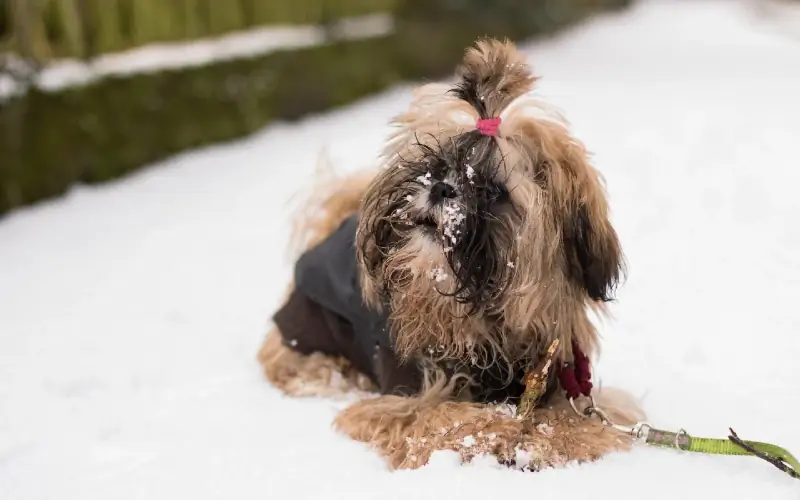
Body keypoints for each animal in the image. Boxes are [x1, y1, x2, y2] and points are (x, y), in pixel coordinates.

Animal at [256, 39, 644, 472]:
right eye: (438, 165)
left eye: (493, 191)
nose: (441, 187)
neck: (485, 325)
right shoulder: (399, 399)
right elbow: (441, 416)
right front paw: (505, 429)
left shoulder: (559, 376)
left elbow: (589, 417)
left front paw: (561, 435)